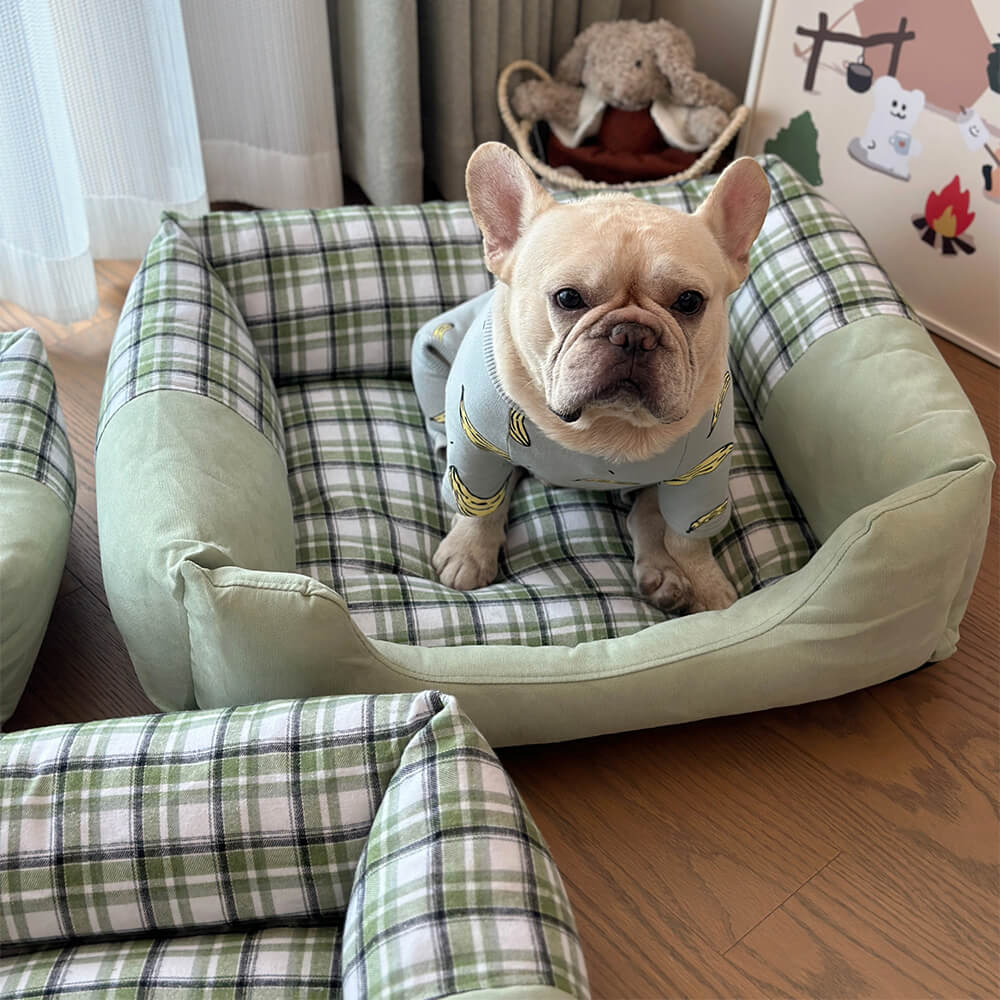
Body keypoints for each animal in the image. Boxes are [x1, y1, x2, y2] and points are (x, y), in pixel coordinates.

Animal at [428, 144, 764, 612]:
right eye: (568, 298)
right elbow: (477, 507)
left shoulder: (701, 474)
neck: (603, 425)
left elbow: (689, 539)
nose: (634, 334)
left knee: (648, 513)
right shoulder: (477, 452)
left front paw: (707, 585)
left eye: (689, 302)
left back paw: (662, 573)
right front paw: (467, 554)